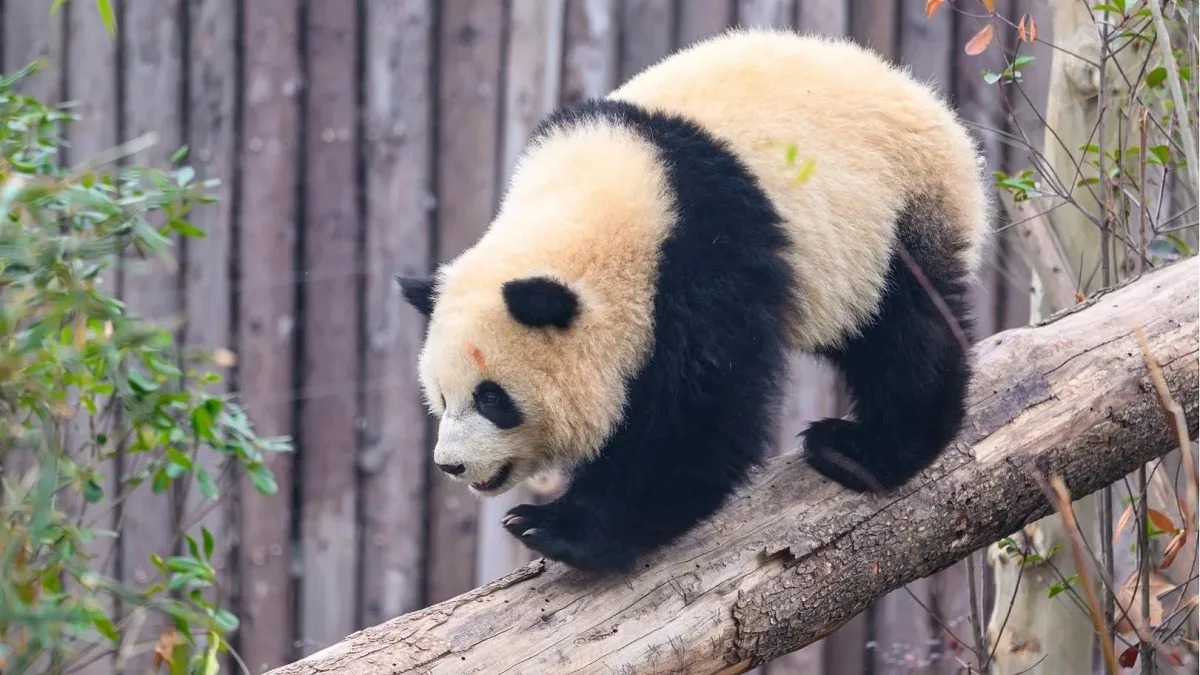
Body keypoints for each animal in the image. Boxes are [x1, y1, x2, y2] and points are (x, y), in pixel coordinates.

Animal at [397, 28, 991, 573]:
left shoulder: (705, 257)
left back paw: (861, 450)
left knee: (903, 330)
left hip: (889, 218)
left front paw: (557, 528)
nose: (451, 465)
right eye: (441, 398)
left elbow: (700, 412)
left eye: (492, 398)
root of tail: (930, 104)